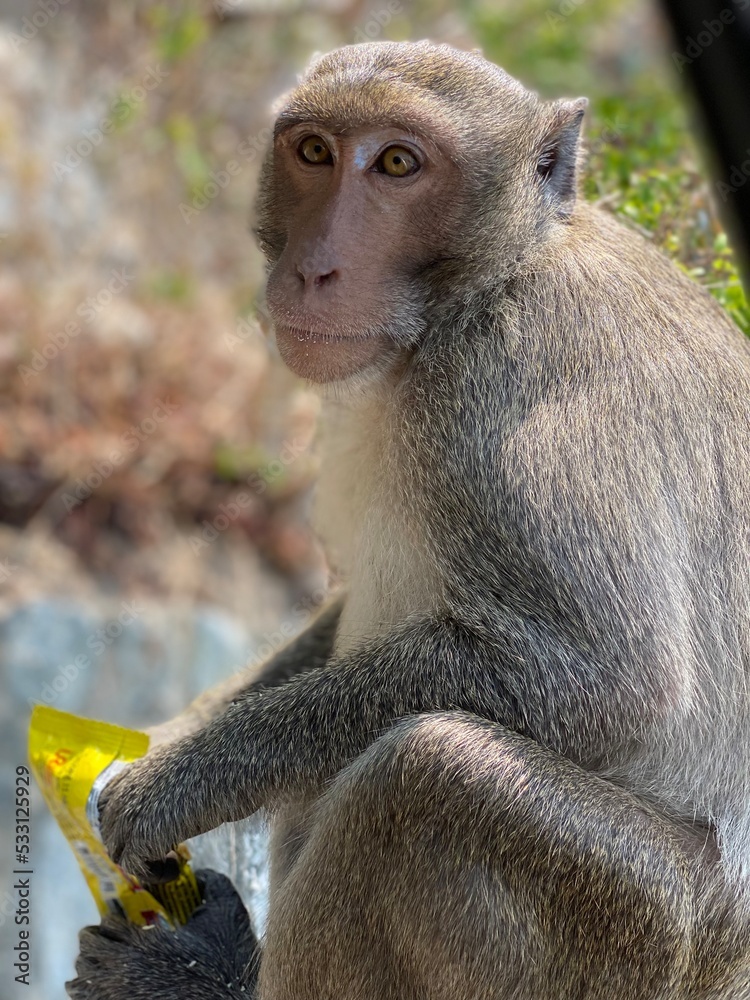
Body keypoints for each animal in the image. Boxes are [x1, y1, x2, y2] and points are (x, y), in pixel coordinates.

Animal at [68, 40, 750, 1000]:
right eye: (314, 151)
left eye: (397, 164)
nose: (313, 268)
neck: (477, 289)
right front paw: (168, 738)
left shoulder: (505, 378)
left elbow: (610, 679)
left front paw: (179, 784)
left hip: (641, 935)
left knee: (427, 776)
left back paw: (201, 972)